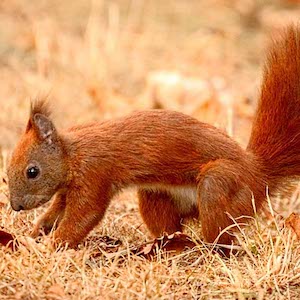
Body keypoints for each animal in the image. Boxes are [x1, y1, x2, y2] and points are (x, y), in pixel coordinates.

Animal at [6, 25, 300, 248]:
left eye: (32, 171)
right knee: (172, 225)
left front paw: (52, 246)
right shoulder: (67, 189)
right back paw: (166, 244)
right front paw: (36, 232)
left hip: (222, 183)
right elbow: (57, 211)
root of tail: (258, 174)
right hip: (156, 193)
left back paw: (208, 249)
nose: (16, 206)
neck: (73, 154)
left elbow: (84, 216)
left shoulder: (94, 175)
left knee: (222, 230)